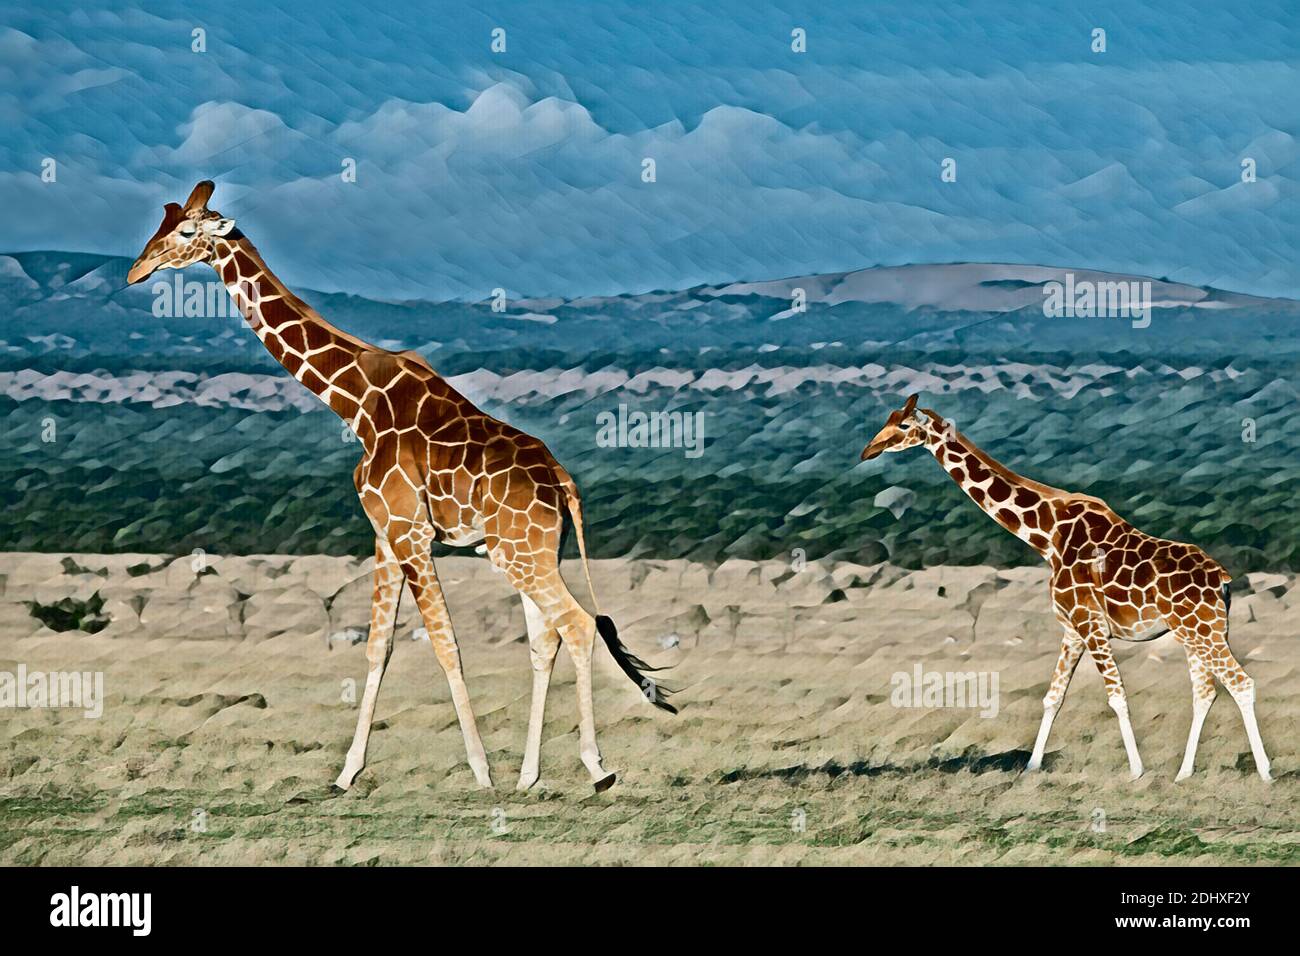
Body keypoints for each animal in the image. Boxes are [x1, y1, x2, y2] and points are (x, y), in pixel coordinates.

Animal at [127, 181, 675, 793]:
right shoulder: (385, 535)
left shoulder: (410, 532)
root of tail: (563, 481)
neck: (355, 402)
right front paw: (347, 774)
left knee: (577, 626)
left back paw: (596, 768)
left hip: (517, 552)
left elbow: (445, 644)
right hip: (533, 550)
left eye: (185, 231)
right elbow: (378, 647)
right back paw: (529, 776)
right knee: (546, 637)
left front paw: (480, 771)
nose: (135, 271)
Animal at [861, 394, 1272, 782]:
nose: (868, 451)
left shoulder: (1090, 624)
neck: (1047, 535)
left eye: (902, 426)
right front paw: (1031, 767)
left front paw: (1136, 771)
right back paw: (1184, 774)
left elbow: (1117, 696)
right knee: (1205, 692)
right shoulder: (1072, 629)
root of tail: (1222, 579)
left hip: (1204, 630)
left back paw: (1265, 771)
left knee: (1241, 683)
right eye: (887, 419)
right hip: (1193, 632)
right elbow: (1053, 697)